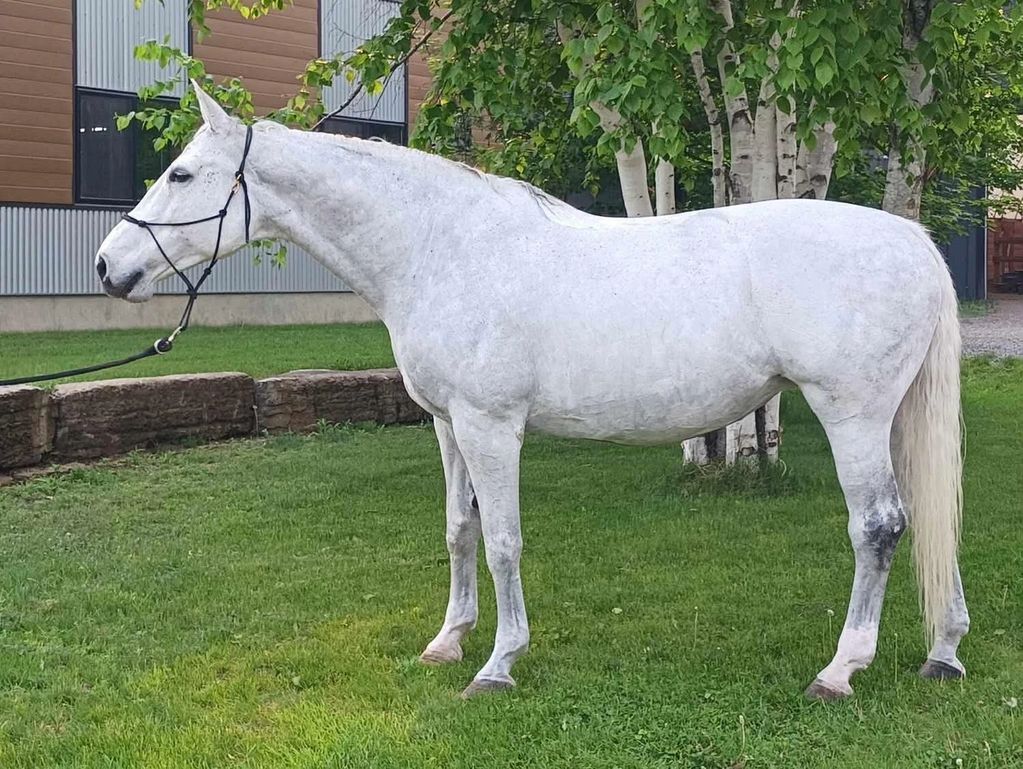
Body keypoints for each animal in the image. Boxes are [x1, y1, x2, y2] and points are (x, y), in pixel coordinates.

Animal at [95, 83, 969, 701]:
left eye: (180, 172)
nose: (108, 266)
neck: (440, 249)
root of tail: (915, 243)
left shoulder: (491, 426)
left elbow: (503, 540)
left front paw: (497, 663)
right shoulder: (447, 424)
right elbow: (458, 531)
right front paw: (447, 640)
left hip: (851, 414)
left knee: (878, 526)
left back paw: (840, 669)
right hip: (891, 419)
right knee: (928, 519)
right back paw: (943, 652)